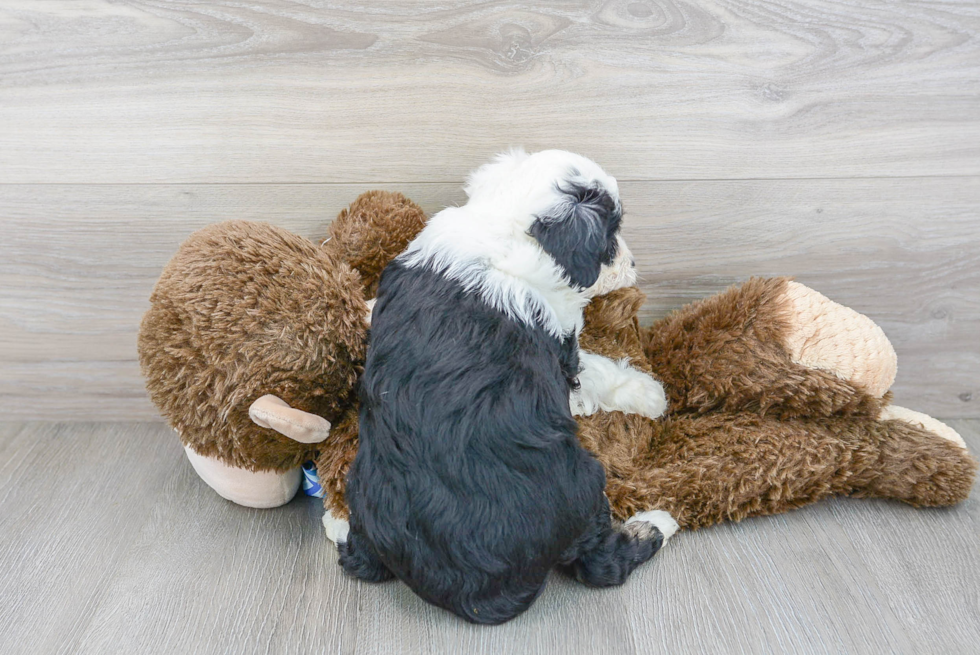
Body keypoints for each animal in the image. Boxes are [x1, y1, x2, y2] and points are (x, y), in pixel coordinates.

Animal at [336, 149, 672, 624]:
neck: (503, 227)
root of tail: (472, 594)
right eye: (611, 235)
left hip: (362, 490)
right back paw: (656, 524)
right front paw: (651, 394)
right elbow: (596, 371)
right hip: (586, 486)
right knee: (600, 563)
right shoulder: (562, 348)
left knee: (356, 558)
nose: (635, 266)